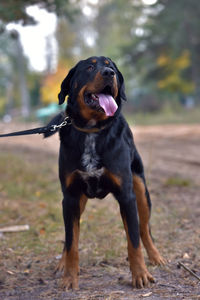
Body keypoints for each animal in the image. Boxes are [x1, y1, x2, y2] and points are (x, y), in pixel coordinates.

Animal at [52, 56, 166, 290]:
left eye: (111, 67)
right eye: (89, 67)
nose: (108, 74)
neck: (92, 131)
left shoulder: (127, 196)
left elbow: (134, 240)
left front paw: (140, 274)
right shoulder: (70, 197)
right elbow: (72, 241)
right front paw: (69, 277)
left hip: (141, 191)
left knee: (144, 229)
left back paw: (155, 257)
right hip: (79, 202)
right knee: (69, 237)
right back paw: (62, 264)